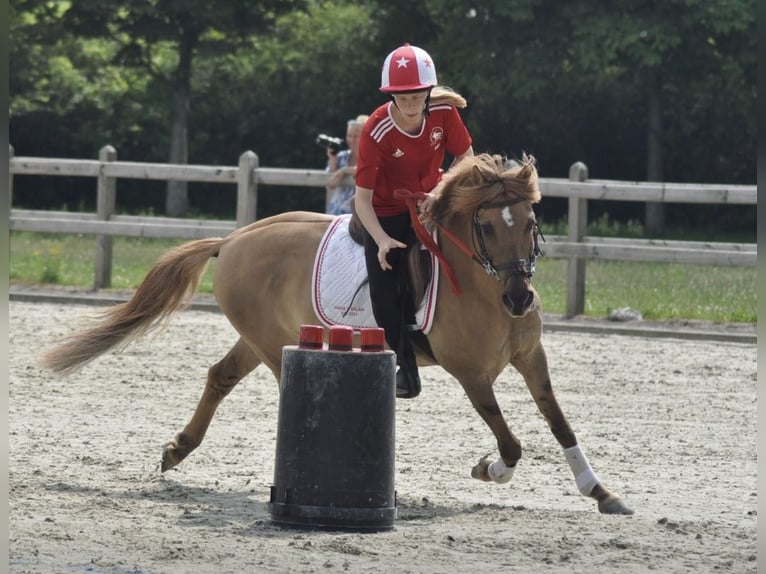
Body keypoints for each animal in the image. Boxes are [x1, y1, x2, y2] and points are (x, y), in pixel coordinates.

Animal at [39, 153, 632, 516]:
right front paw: (488, 468)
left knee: (219, 376)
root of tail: (232, 240)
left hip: (258, 336)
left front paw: (601, 492)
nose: (519, 300)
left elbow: (559, 422)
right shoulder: (470, 374)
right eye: (485, 226)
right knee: (273, 383)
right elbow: (510, 441)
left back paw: (177, 450)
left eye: (529, 222)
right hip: (269, 341)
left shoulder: (532, 359)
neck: (484, 286)